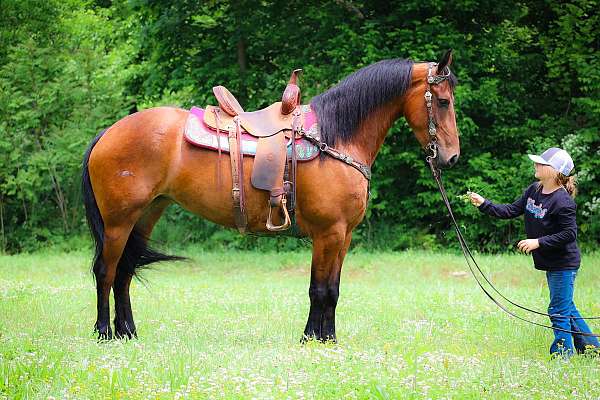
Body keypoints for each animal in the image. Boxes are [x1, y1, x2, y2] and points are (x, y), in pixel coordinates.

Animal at [81, 50, 460, 342]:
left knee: (124, 271)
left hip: (146, 215)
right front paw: (311, 338)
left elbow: (333, 289)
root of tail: (108, 132)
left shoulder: (344, 235)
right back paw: (103, 332)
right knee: (106, 271)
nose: (451, 157)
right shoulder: (328, 233)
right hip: (118, 222)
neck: (334, 138)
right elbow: (319, 289)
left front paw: (328, 338)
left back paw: (127, 331)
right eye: (443, 102)